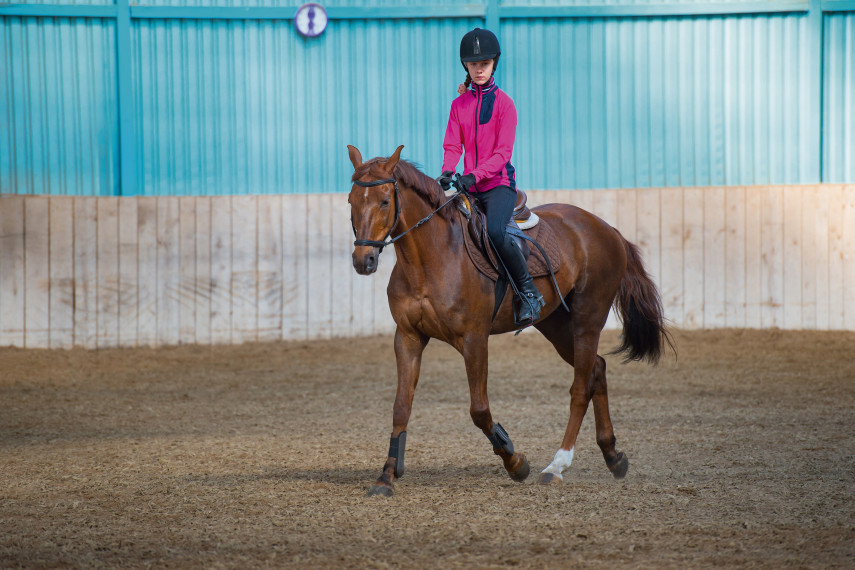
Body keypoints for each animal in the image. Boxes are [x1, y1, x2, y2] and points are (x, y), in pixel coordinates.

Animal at [348, 144, 676, 494]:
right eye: (352, 201)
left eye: (385, 201)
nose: (364, 260)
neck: (430, 258)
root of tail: (606, 229)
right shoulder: (408, 337)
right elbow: (401, 406)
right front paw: (386, 476)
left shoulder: (474, 339)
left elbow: (479, 410)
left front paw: (515, 462)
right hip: (556, 325)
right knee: (596, 370)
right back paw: (613, 456)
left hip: (587, 321)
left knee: (579, 388)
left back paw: (556, 465)